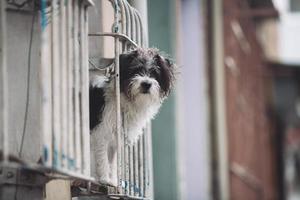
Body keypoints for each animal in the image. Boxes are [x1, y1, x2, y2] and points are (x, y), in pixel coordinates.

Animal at [88, 48, 175, 186]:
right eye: (135, 70)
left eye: (154, 73)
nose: (146, 84)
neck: (123, 101)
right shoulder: (101, 134)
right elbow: (103, 159)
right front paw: (105, 179)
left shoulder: (114, 141)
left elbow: (112, 162)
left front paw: (113, 180)